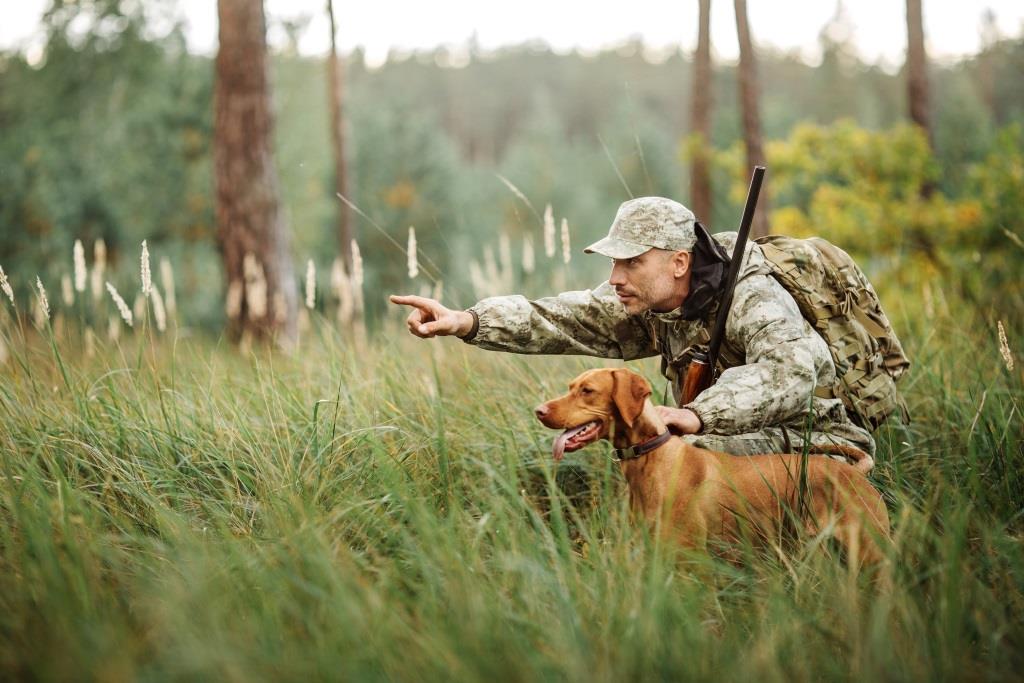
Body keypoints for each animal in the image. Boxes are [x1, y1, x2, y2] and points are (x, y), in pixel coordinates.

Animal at [536, 368, 888, 565]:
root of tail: (854, 472)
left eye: (588, 391)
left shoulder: (690, 560)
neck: (652, 457)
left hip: (871, 552)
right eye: (570, 387)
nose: (539, 411)